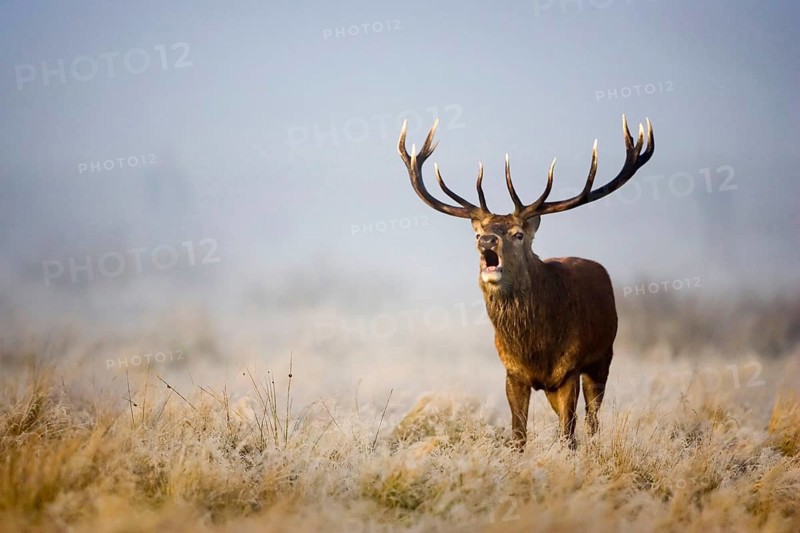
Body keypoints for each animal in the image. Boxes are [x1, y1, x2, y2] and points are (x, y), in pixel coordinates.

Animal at [397, 115, 654, 449]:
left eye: (518, 234)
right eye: (478, 235)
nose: (488, 241)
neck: (535, 347)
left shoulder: (570, 369)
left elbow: (568, 435)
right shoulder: (512, 372)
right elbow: (518, 435)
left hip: (602, 357)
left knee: (592, 420)